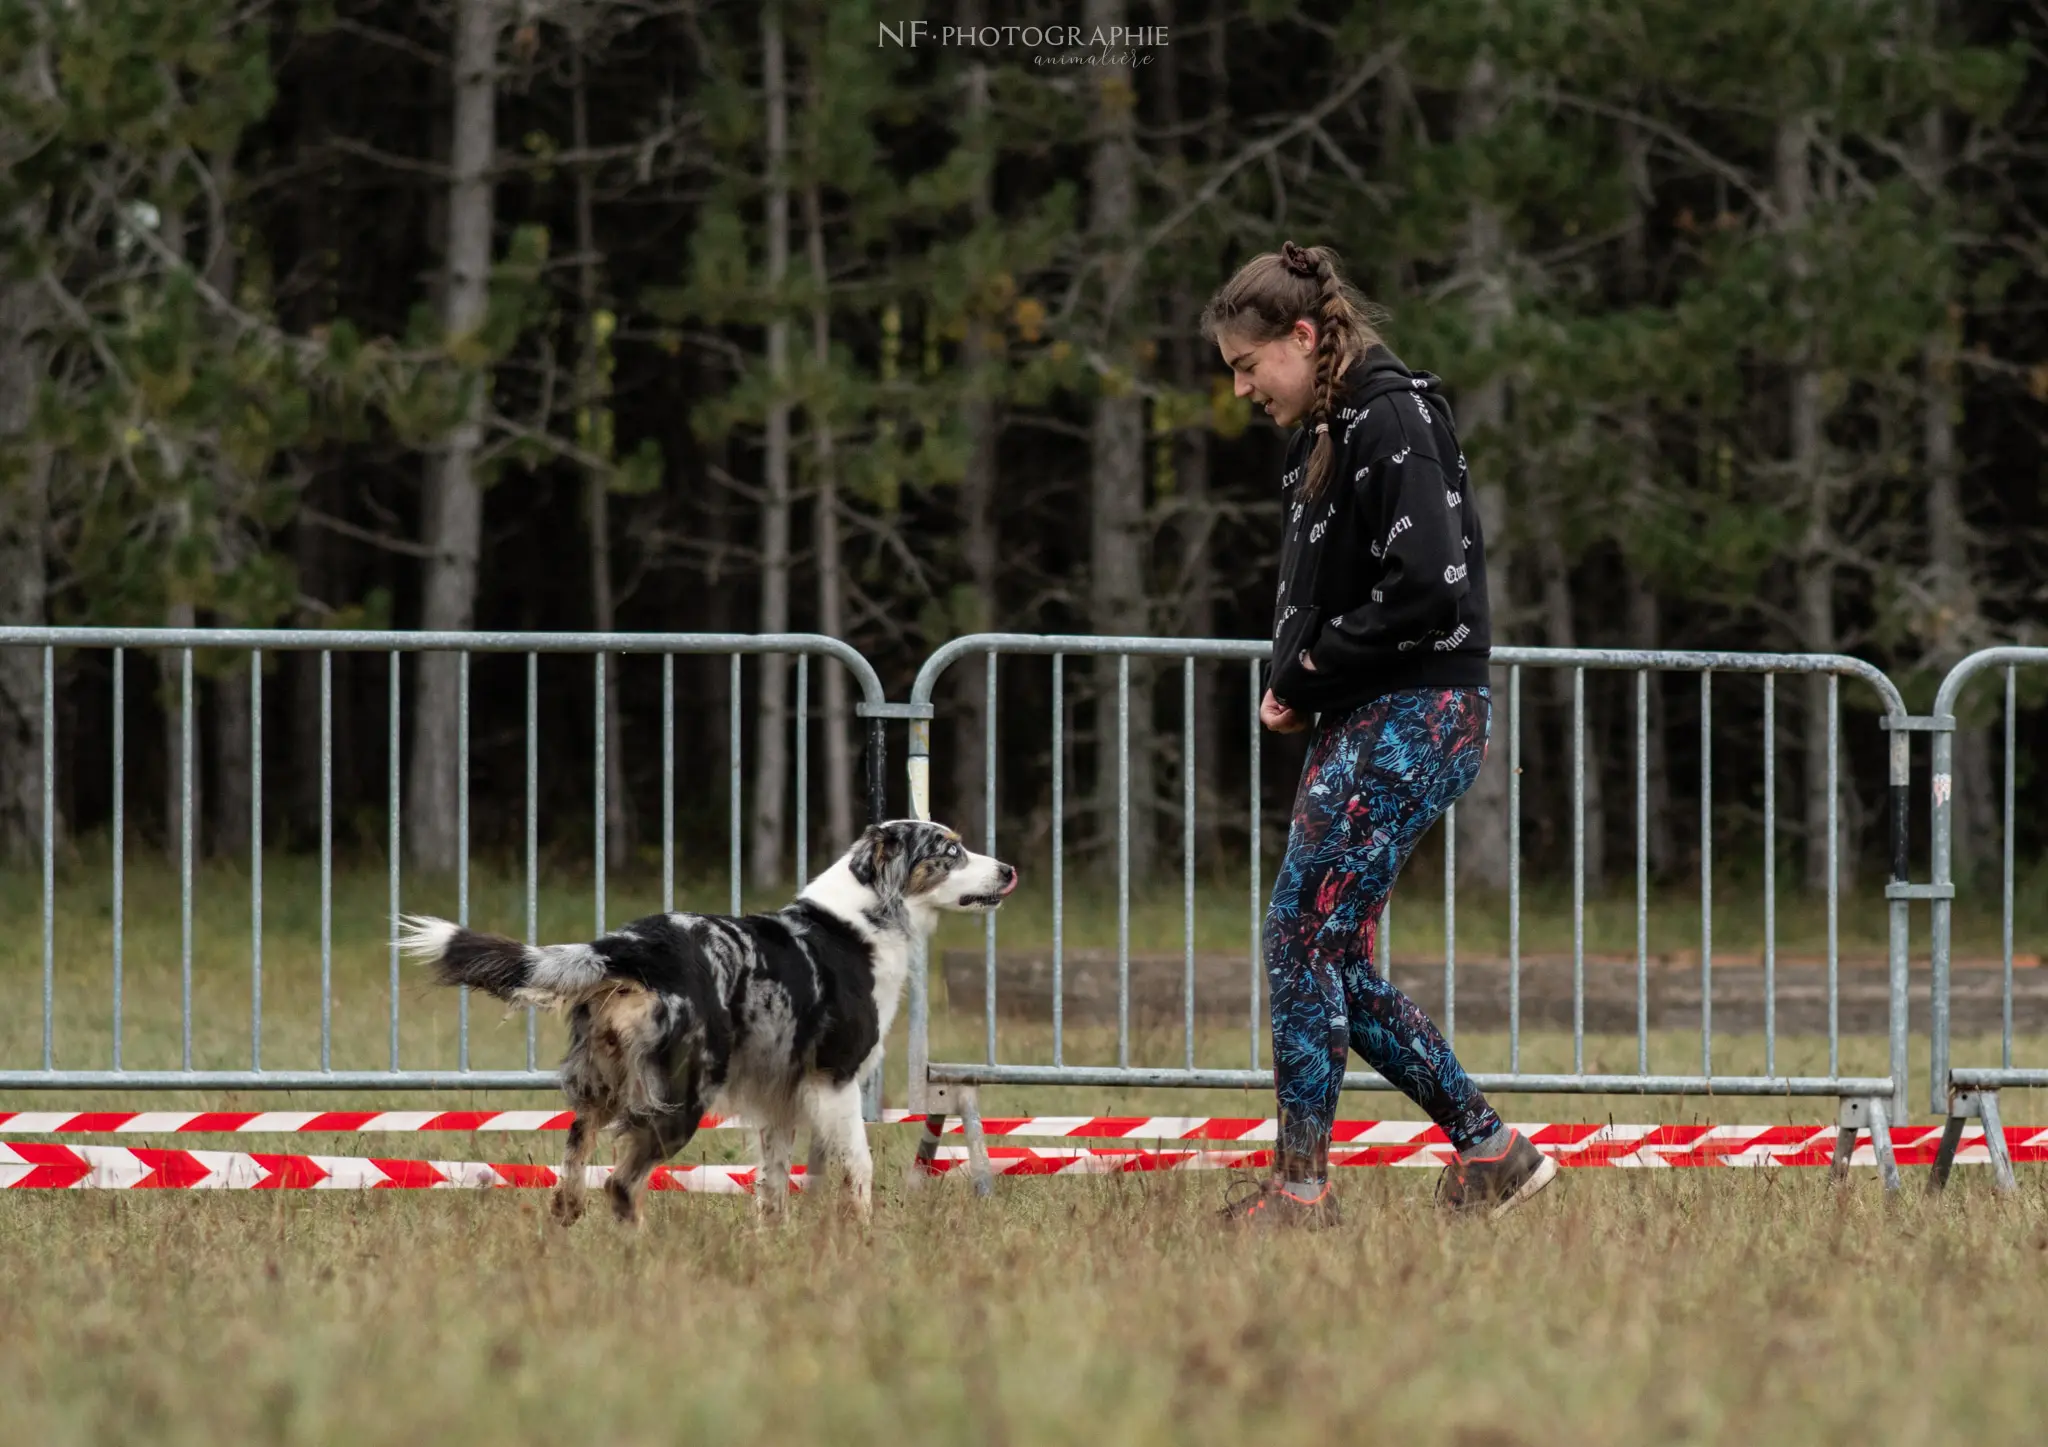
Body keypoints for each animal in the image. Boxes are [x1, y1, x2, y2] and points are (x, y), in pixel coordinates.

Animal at [395, 822, 1011, 1228]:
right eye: (951, 851)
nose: (1008, 869)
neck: (859, 920)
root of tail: (630, 945)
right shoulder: (833, 1082)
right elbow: (856, 1167)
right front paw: (862, 1236)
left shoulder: (779, 1096)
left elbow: (774, 1183)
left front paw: (775, 1241)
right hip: (681, 1096)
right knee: (620, 1182)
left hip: (601, 1083)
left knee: (573, 1166)